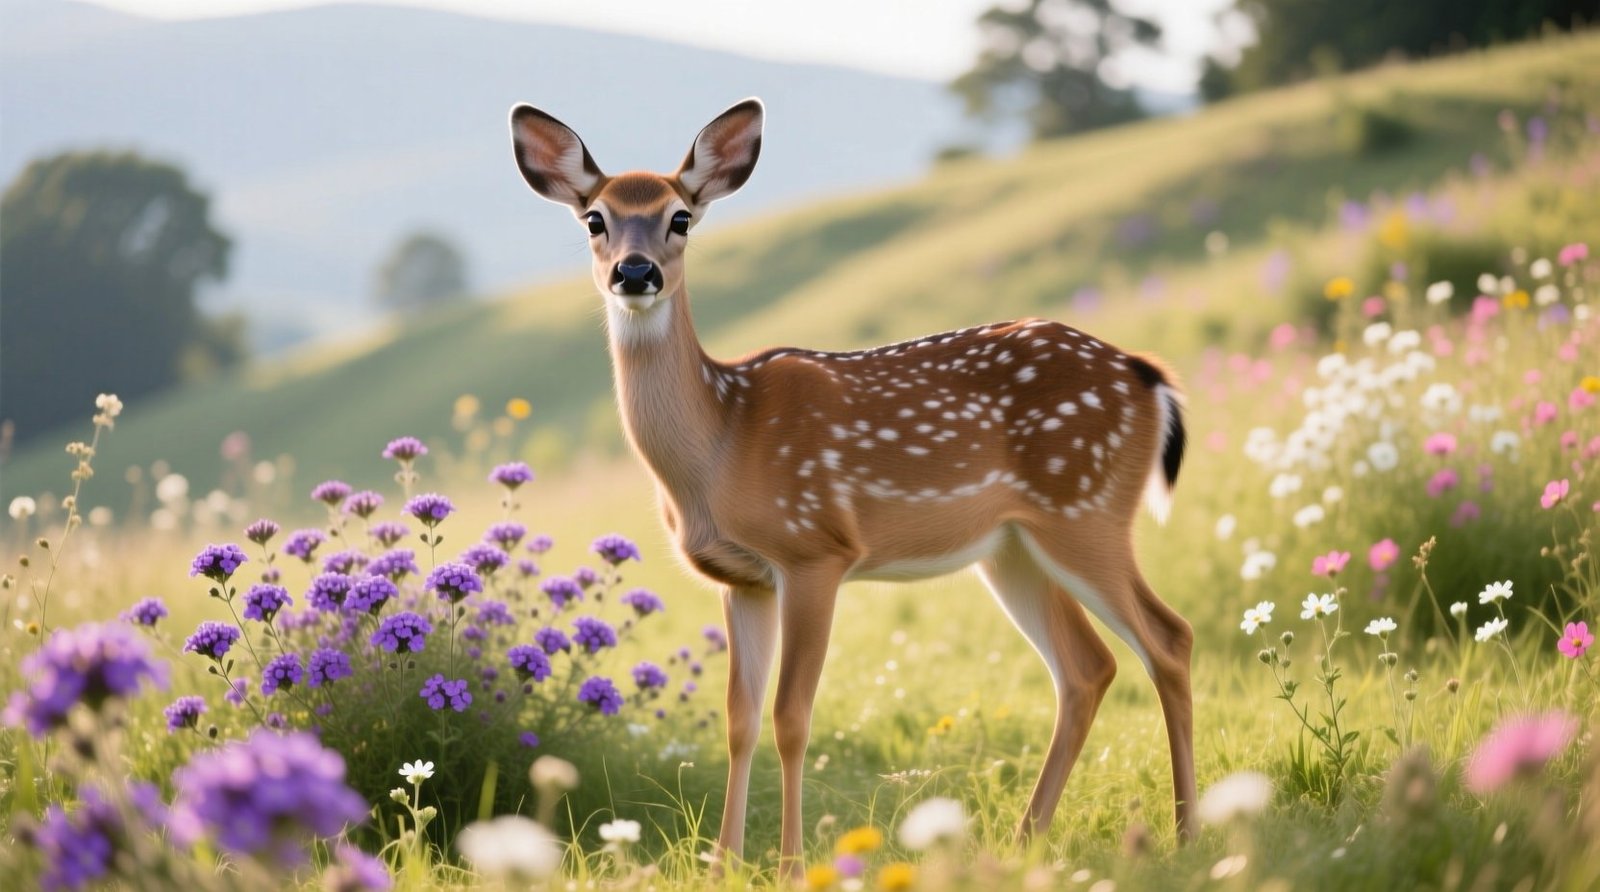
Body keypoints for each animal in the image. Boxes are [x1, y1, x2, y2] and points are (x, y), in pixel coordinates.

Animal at [508, 98, 1196, 878]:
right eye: (595, 218)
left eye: (680, 217)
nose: (635, 270)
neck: (722, 443)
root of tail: (1148, 377)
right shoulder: (741, 578)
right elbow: (740, 720)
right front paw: (722, 865)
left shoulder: (815, 551)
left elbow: (792, 717)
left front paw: (789, 866)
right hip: (1014, 546)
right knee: (1088, 667)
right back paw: (1026, 840)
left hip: (1085, 507)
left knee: (1168, 637)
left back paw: (1187, 834)